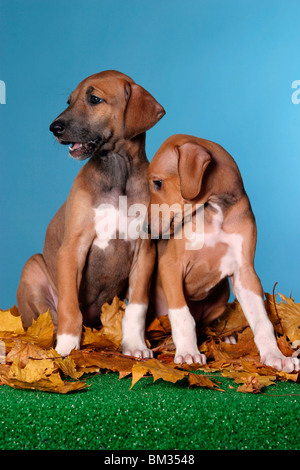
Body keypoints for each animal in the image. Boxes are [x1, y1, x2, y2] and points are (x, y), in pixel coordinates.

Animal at [122, 134, 300, 372]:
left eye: (158, 182)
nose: (146, 229)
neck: (216, 211)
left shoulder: (245, 273)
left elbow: (262, 321)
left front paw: (275, 356)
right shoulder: (171, 265)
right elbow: (182, 316)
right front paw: (188, 352)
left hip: (222, 294)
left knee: (207, 324)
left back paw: (226, 337)